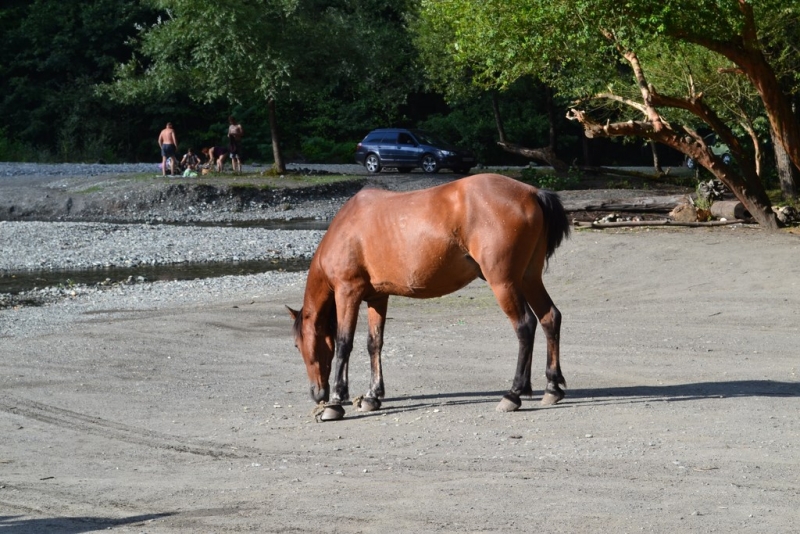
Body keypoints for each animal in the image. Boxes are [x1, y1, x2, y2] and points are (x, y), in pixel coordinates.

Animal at [288, 174, 568, 420]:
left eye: (299, 345)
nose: (316, 394)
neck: (346, 227)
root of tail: (531, 193)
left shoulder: (348, 293)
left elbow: (344, 344)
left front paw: (335, 403)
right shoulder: (377, 298)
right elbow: (374, 344)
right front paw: (372, 396)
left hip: (504, 283)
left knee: (525, 326)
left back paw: (513, 394)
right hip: (528, 279)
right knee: (549, 318)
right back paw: (552, 388)